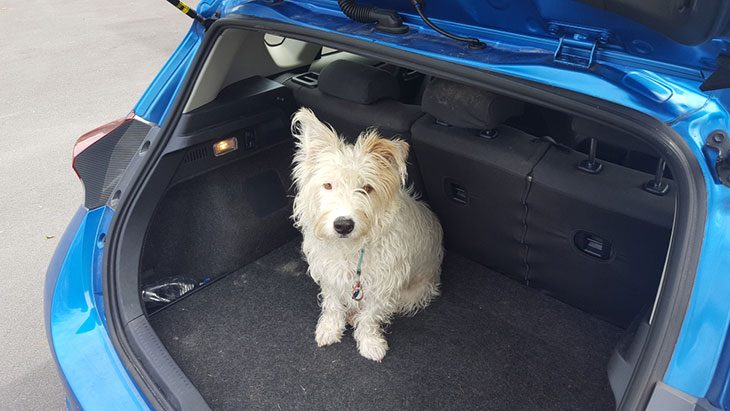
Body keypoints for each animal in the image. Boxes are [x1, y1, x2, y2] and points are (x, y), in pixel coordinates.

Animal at [290, 108, 444, 362]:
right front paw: (330, 329)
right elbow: (332, 304)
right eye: (328, 185)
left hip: (413, 293)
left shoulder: (383, 283)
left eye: (367, 188)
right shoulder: (329, 272)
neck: (350, 248)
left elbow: (371, 316)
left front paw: (370, 342)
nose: (343, 225)